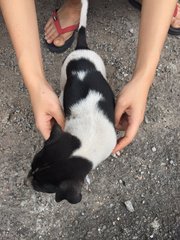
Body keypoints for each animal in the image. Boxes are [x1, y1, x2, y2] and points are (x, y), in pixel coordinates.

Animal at [26, 0, 116, 204]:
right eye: (32, 164)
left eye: (41, 187)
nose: (27, 180)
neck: (87, 142)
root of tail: (81, 47)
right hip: (64, 74)